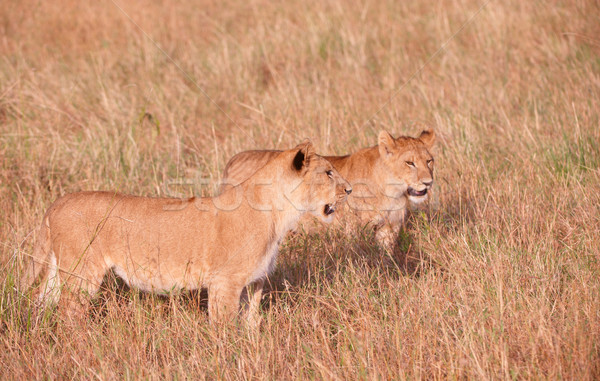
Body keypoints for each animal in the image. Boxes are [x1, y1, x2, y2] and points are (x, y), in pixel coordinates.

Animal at [21, 140, 352, 324]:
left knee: (40, 301)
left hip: (59, 270)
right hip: (83, 273)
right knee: (69, 313)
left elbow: (251, 324)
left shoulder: (254, 283)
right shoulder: (225, 283)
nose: (349, 189)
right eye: (328, 172)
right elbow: (224, 328)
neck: (278, 216)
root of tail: (58, 202)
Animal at [218, 129, 434, 251]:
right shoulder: (353, 228)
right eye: (410, 163)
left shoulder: (388, 229)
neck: (393, 192)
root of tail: (233, 160)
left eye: (429, 161)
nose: (428, 182)